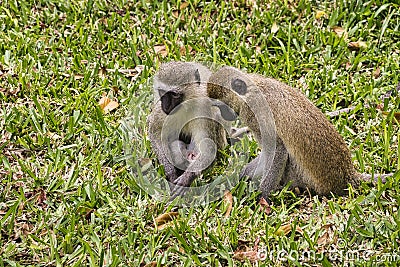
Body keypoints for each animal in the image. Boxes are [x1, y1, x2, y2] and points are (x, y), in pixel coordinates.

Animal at [147, 61, 230, 198]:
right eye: (162, 92)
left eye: (175, 94)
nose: (166, 107)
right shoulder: (160, 110)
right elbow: (154, 131)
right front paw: (170, 171)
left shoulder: (204, 109)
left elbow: (208, 148)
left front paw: (185, 179)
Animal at [206, 66, 390, 201]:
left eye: (223, 106)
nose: (225, 116)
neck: (251, 90)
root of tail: (348, 176)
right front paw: (243, 174)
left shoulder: (256, 115)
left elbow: (278, 150)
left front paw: (261, 196)